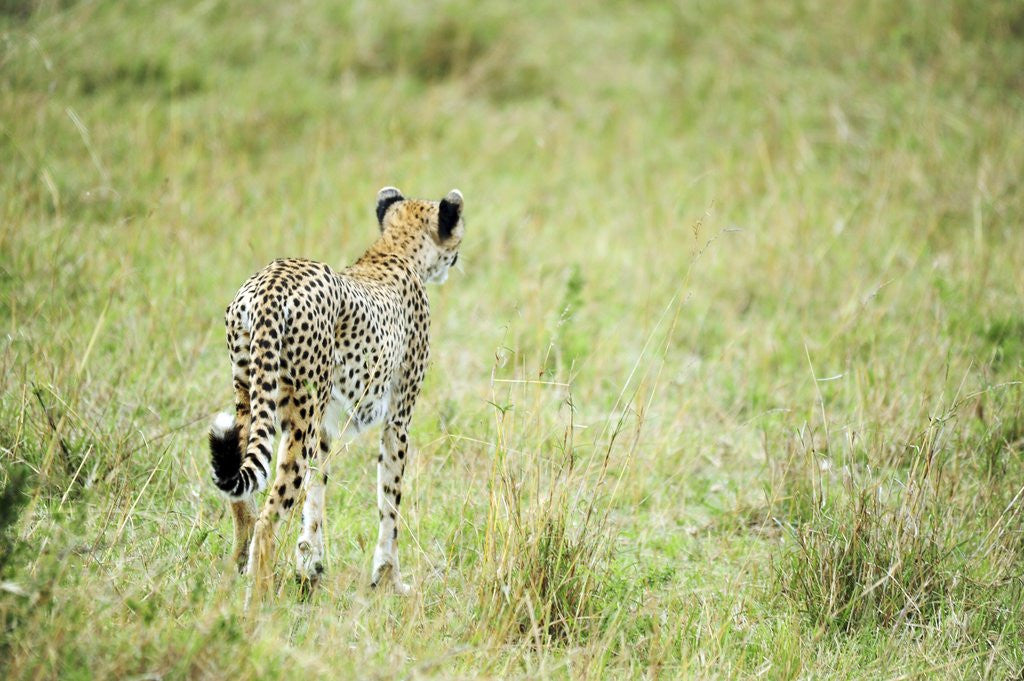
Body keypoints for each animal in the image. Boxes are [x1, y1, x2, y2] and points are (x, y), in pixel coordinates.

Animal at [208, 186, 464, 598]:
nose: (456, 256)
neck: (393, 250)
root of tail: (271, 280)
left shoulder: (326, 426)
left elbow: (316, 495)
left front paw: (309, 567)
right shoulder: (398, 420)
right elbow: (390, 501)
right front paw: (389, 580)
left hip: (251, 395)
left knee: (241, 498)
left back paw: (233, 577)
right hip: (298, 416)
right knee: (268, 516)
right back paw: (258, 600)